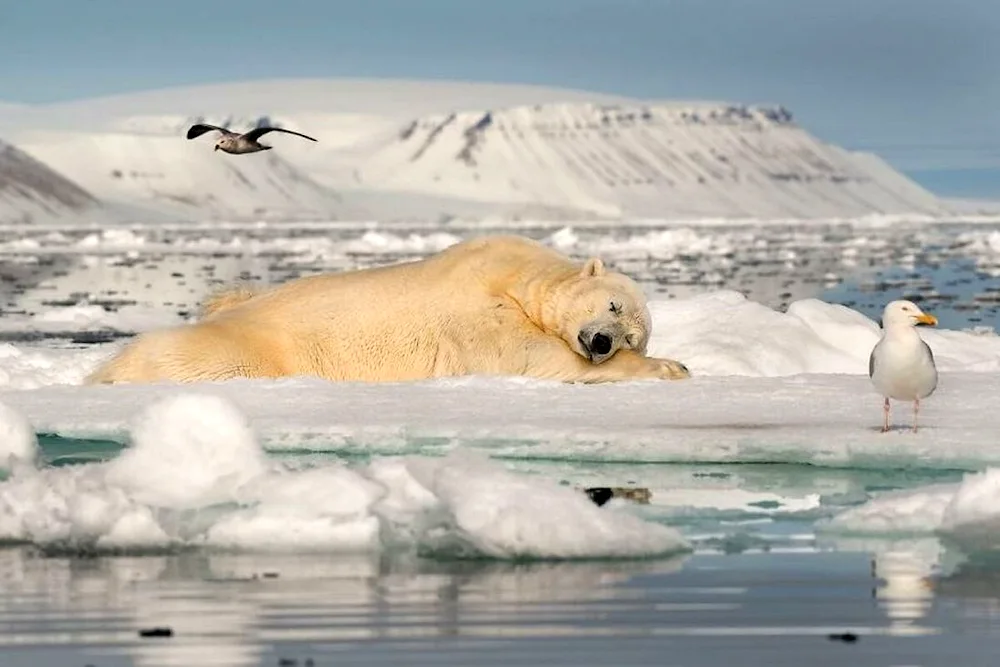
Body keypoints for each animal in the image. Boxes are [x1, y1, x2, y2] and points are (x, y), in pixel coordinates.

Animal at [84, 237, 688, 388]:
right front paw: (675, 367)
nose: (603, 342)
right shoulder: (478, 312)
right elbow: (533, 357)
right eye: (612, 305)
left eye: (632, 334)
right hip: (242, 349)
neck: (519, 275)